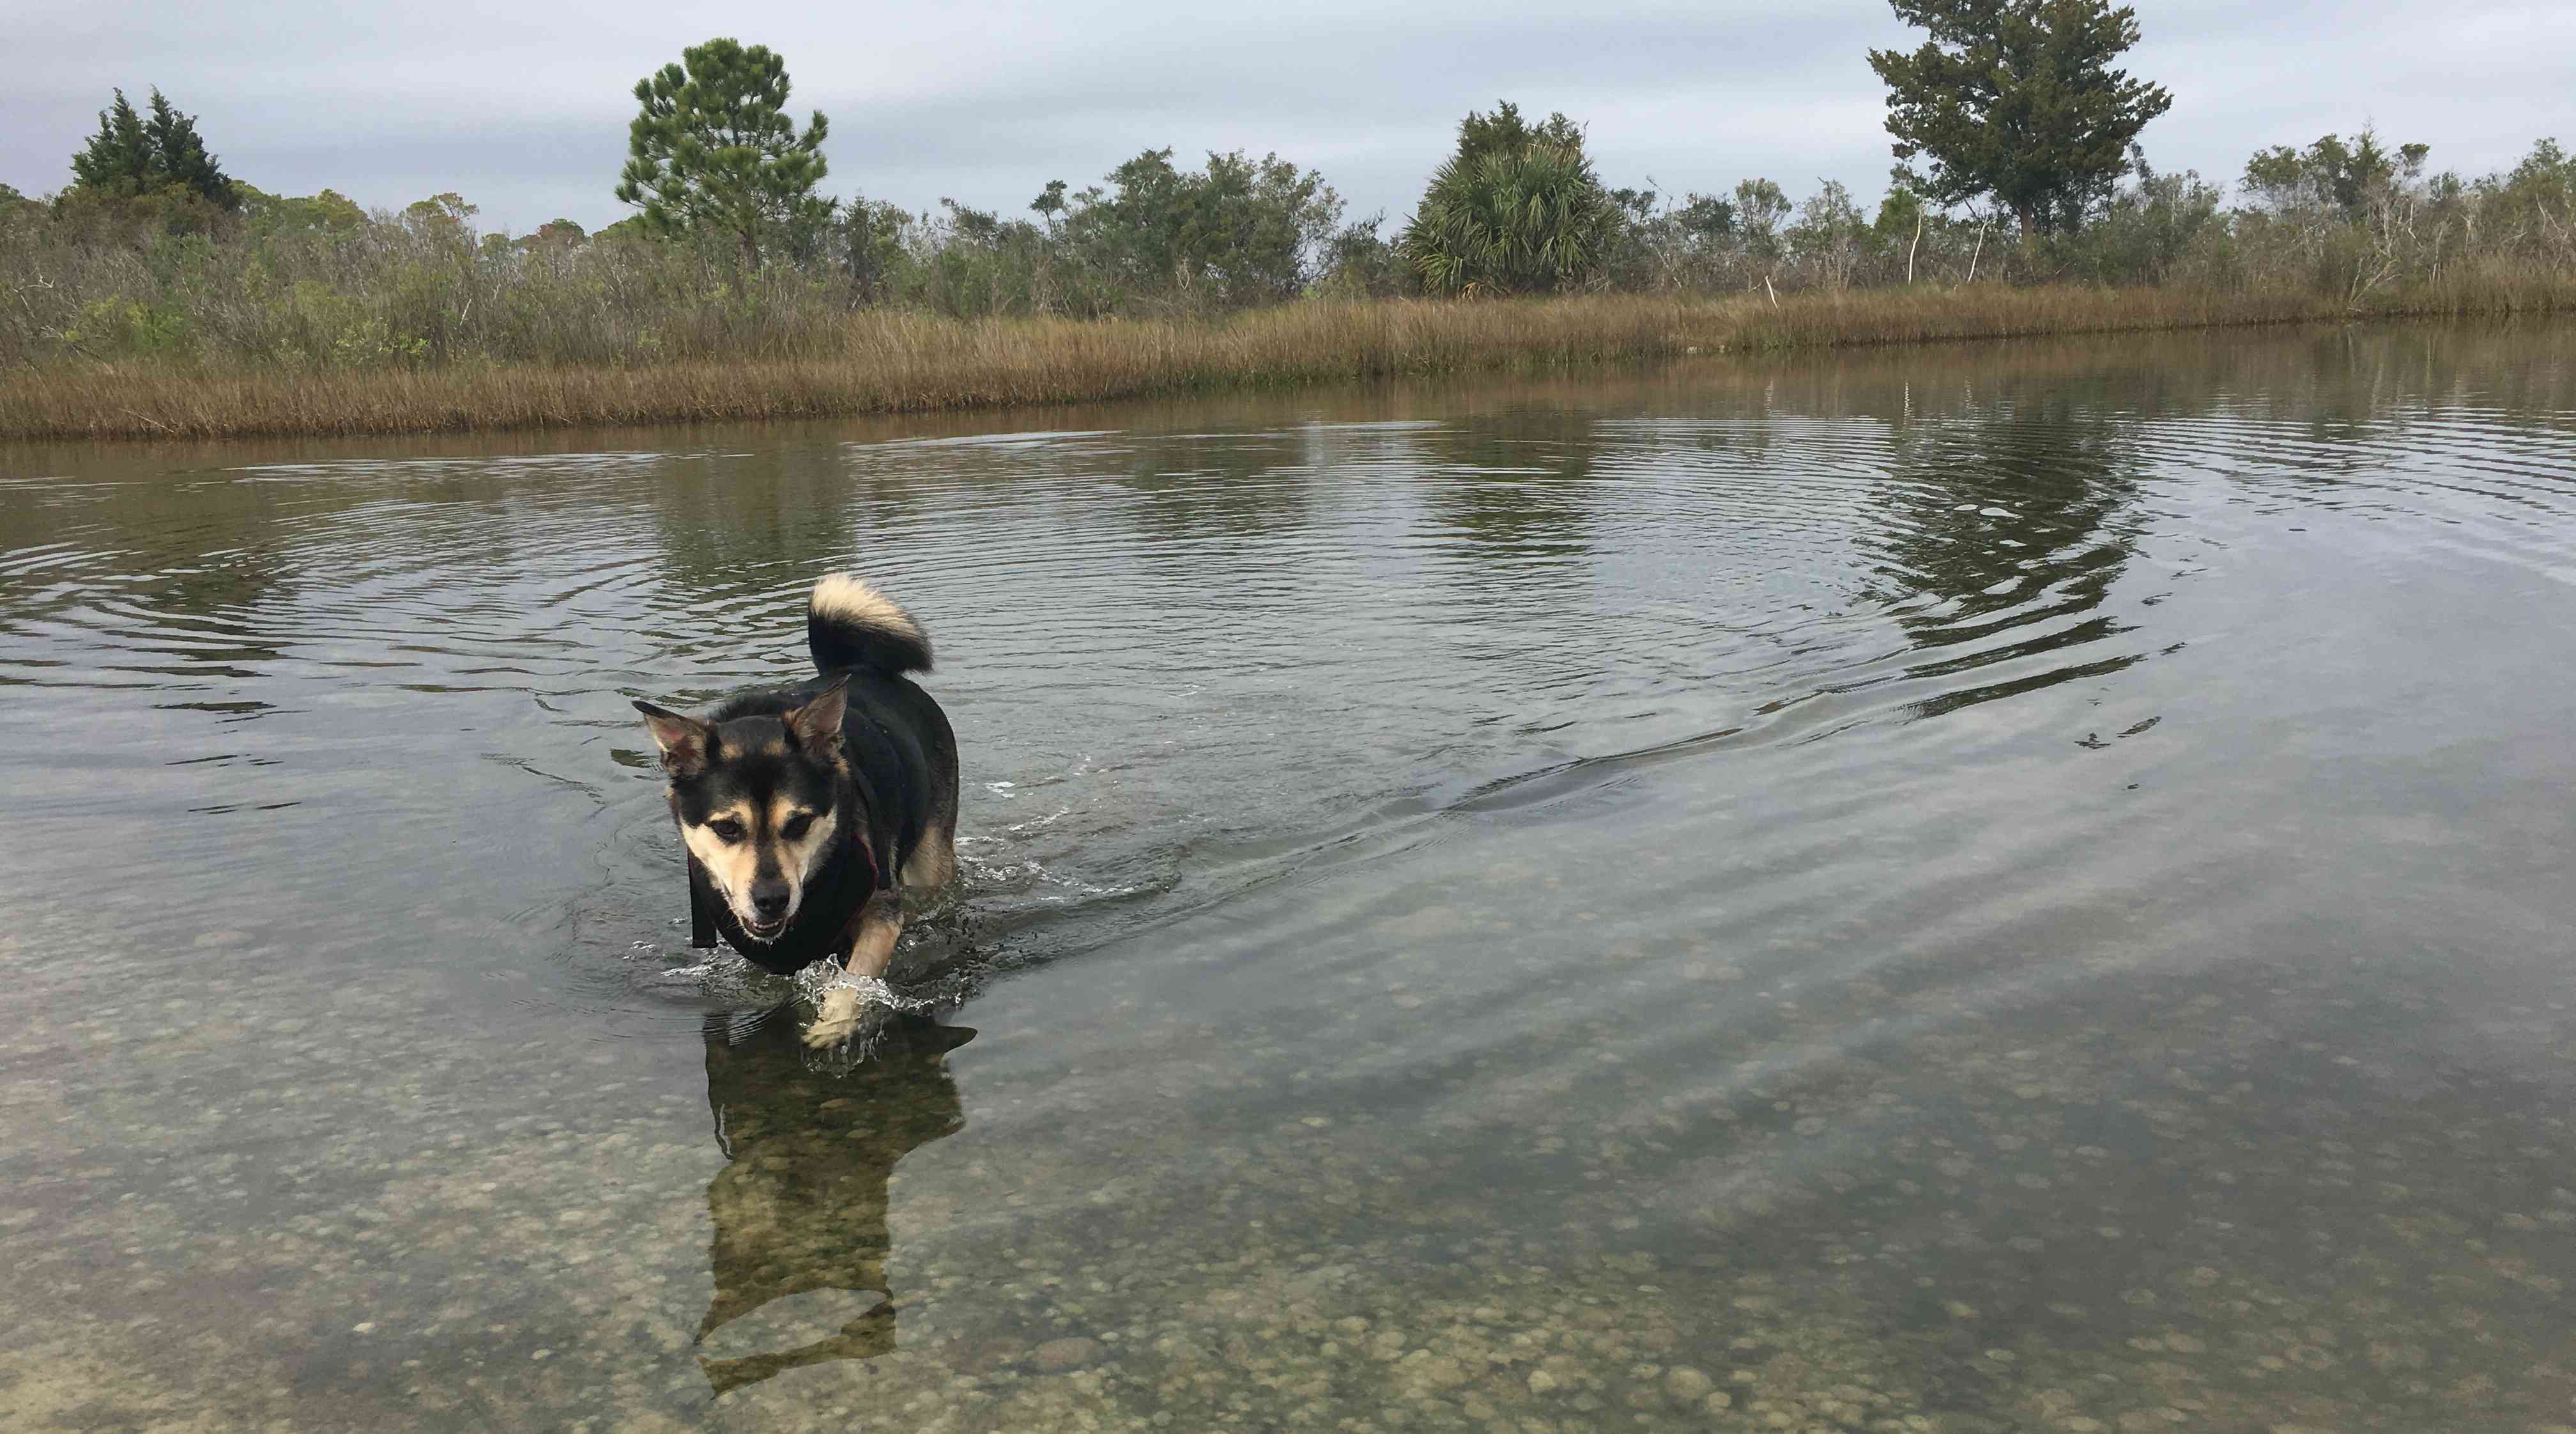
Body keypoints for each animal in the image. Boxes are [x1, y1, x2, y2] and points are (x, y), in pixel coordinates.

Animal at [638, 576, 963, 1045]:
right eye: (727, 828)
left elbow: (855, 979)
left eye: (799, 823)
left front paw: (832, 1023)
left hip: (929, 860)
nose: (771, 900)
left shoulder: (881, 916)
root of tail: (860, 668)